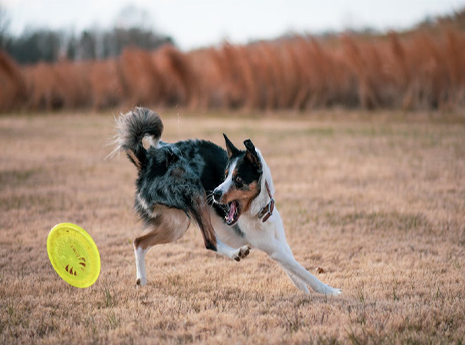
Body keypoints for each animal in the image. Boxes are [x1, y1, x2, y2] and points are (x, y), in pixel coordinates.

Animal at [114, 107, 340, 296]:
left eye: (238, 179)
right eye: (224, 176)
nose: (214, 193)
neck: (258, 210)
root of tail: (146, 160)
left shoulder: (278, 242)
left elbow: (295, 269)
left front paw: (306, 291)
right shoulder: (271, 247)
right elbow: (302, 270)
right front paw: (330, 291)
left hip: (176, 225)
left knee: (139, 242)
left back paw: (141, 280)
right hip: (194, 194)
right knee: (209, 241)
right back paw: (235, 253)